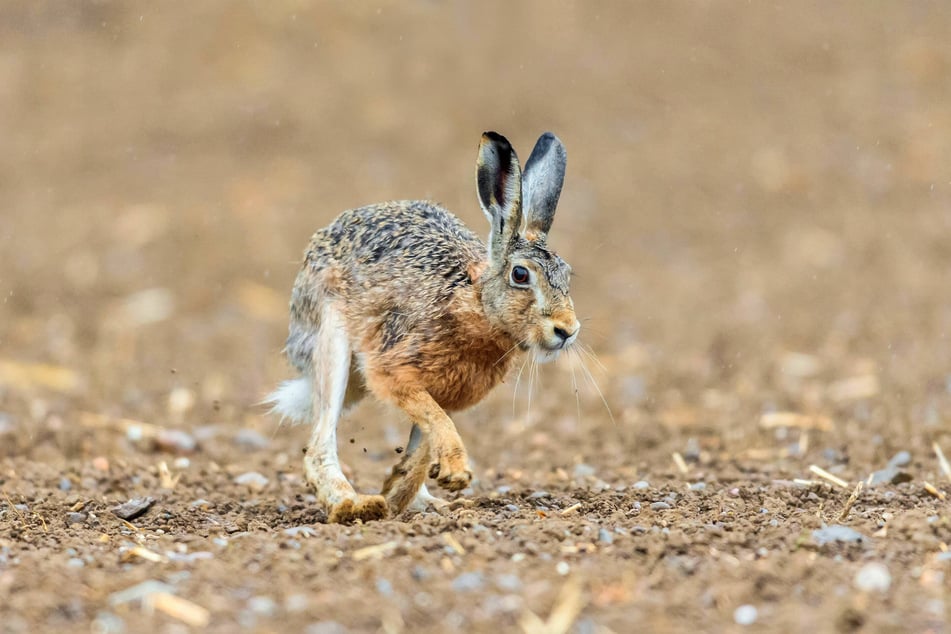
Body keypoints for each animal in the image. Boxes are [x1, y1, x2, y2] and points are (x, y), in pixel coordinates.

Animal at [265, 131, 579, 523]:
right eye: (521, 275)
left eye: (567, 276)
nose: (567, 330)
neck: (474, 301)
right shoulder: (392, 368)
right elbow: (435, 419)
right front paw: (455, 473)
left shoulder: (445, 389)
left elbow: (428, 432)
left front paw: (406, 485)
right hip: (331, 339)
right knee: (319, 445)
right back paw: (354, 506)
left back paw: (424, 501)